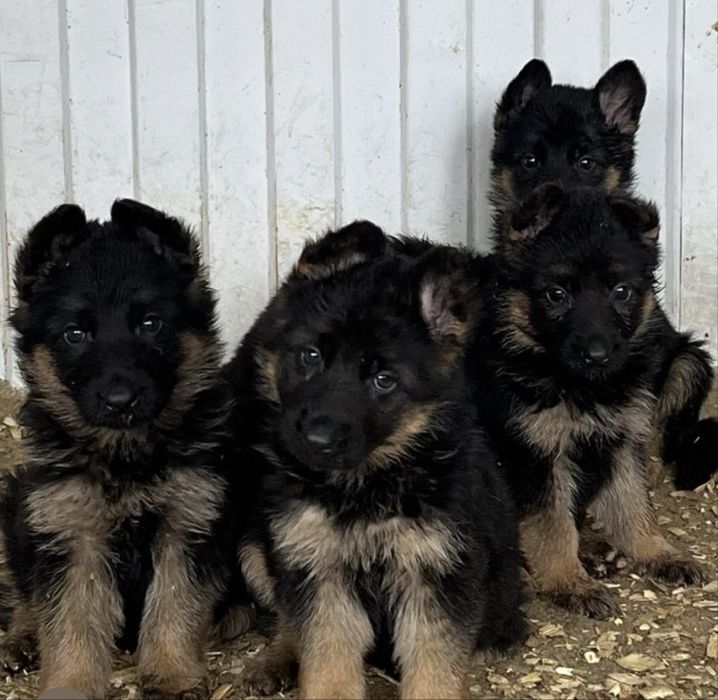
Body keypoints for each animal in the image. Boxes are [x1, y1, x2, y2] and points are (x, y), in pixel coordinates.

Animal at [0, 200, 250, 698]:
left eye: (150, 324)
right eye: (74, 334)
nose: (121, 401)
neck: (125, 454)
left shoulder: (187, 523)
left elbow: (174, 603)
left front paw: (172, 675)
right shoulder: (71, 532)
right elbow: (71, 616)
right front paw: (71, 683)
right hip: (20, 505)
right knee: (24, 590)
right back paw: (21, 637)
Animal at [226, 222, 527, 699]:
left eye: (383, 380)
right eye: (310, 356)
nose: (316, 439)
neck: (367, 484)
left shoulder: (437, 576)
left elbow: (434, 670)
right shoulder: (319, 569)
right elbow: (325, 658)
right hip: (258, 546)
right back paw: (276, 659)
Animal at [468, 183, 708, 619]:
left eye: (621, 291)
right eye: (557, 294)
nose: (597, 355)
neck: (578, 385)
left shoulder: (620, 440)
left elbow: (633, 504)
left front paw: (656, 551)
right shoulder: (535, 455)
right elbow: (552, 526)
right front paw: (567, 582)